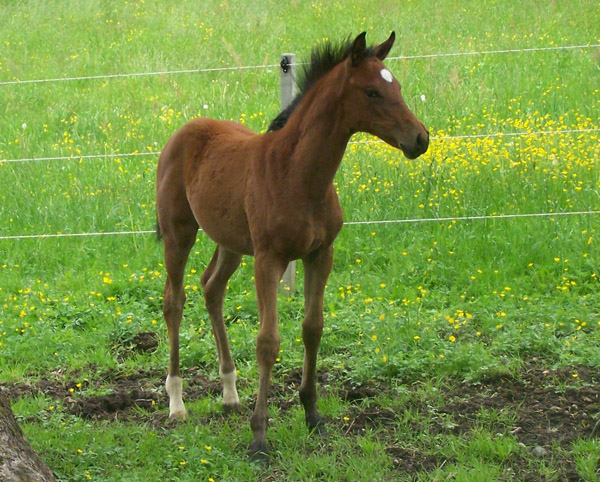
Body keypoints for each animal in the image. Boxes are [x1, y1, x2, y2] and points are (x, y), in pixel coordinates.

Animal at [155, 32, 426, 462]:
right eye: (372, 92)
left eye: (396, 86)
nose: (420, 139)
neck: (297, 173)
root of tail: (185, 130)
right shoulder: (269, 259)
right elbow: (268, 342)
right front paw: (259, 438)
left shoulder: (321, 254)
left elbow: (313, 328)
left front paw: (313, 415)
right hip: (179, 231)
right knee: (174, 301)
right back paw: (177, 402)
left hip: (231, 241)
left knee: (212, 288)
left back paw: (230, 393)